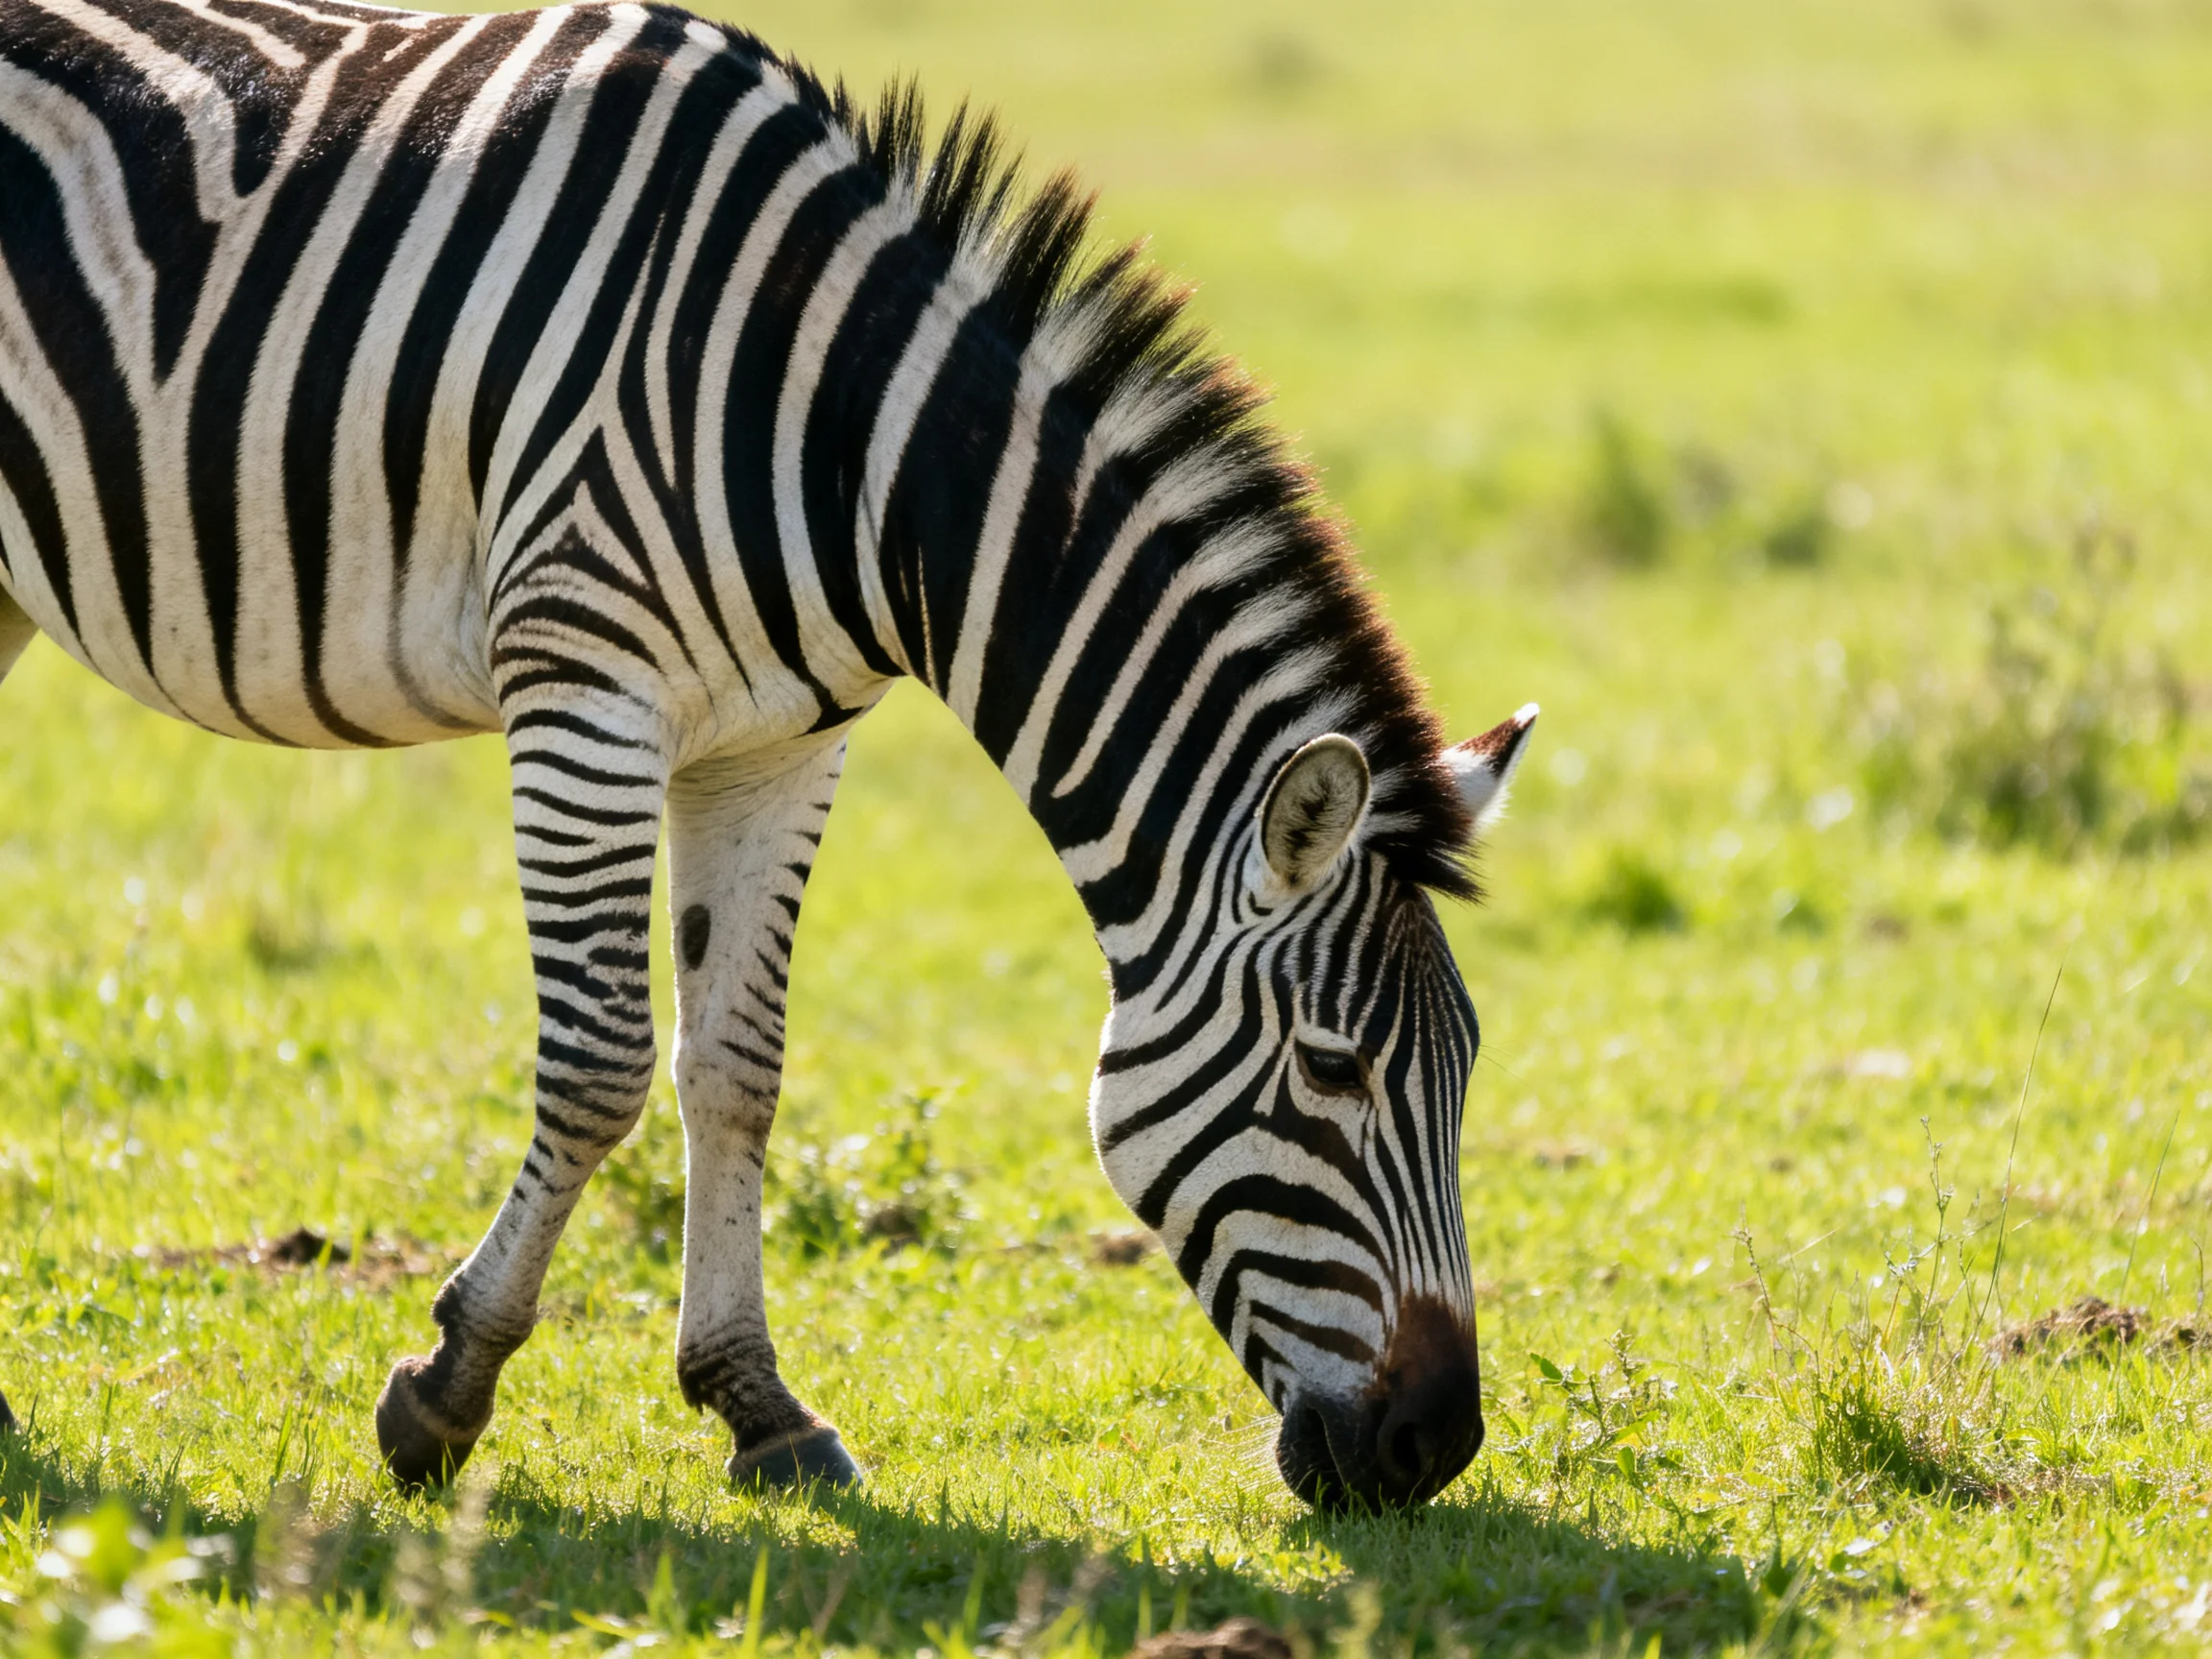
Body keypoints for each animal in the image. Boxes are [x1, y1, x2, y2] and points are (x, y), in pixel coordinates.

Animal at [0, 0, 1538, 1509]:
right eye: (1333, 1070)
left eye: (1464, 1069)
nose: (1436, 1447)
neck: (846, 434)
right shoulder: (585, 685)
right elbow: (602, 1065)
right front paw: (447, 1390)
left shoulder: (777, 747)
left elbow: (738, 1067)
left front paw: (758, 1407)